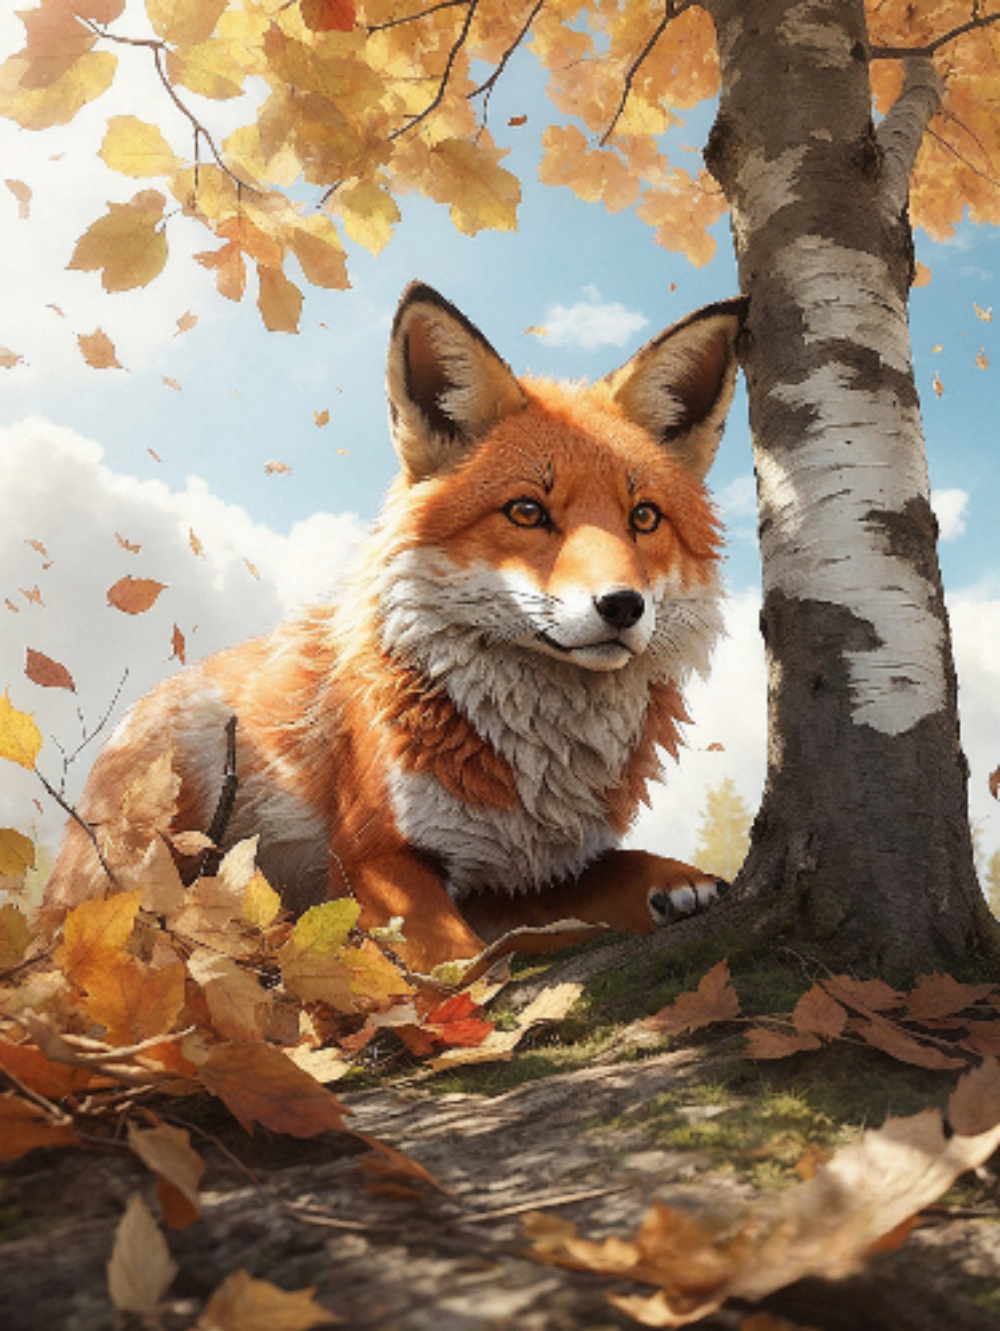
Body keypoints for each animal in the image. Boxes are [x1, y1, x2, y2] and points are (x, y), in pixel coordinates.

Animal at [44, 282, 746, 973]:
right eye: (526, 511)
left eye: (644, 518)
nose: (623, 606)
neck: (536, 764)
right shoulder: (375, 858)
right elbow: (467, 966)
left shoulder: (527, 869)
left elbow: (606, 873)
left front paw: (680, 880)